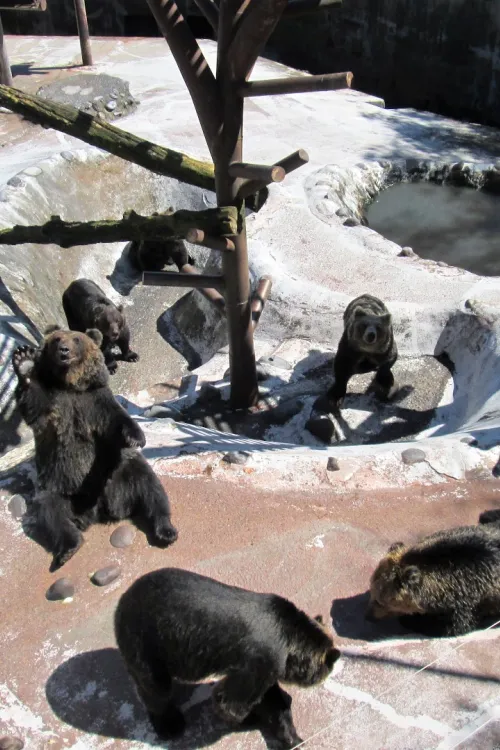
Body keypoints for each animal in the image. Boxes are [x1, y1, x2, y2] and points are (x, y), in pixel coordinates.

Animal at [11, 326, 177, 571]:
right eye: (57, 339)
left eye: (76, 339)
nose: (63, 349)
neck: (70, 385)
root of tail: (101, 509)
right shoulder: (54, 405)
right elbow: (33, 407)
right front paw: (23, 361)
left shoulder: (96, 400)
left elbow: (118, 420)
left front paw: (137, 437)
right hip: (58, 486)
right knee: (52, 513)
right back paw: (68, 549)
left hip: (119, 472)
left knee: (151, 488)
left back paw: (165, 530)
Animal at [114, 567, 340, 747]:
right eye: (324, 673)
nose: (320, 679)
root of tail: (122, 601)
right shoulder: (262, 659)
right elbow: (232, 702)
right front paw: (249, 718)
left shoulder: (266, 668)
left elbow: (272, 699)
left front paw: (292, 736)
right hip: (146, 642)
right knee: (155, 687)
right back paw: (170, 724)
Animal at [366, 512, 500, 637]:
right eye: (372, 592)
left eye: (380, 602)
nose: (368, 616)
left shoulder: (468, 600)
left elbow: (455, 627)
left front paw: (413, 620)